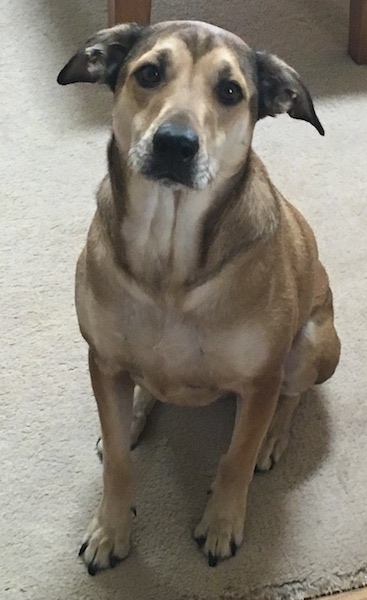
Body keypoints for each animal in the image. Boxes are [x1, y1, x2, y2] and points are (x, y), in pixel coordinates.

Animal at [57, 18, 342, 576]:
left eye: (230, 91)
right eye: (149, 73)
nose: (175, 143)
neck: (168, 255)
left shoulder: (260, 378)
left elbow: (235, 458)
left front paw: (222, 524)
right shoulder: (102, 359)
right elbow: (119, 462)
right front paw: (110, 530)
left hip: (312, 345)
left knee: (292, 396)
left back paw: (272, 438)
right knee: (142, 391)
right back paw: (135, 413)